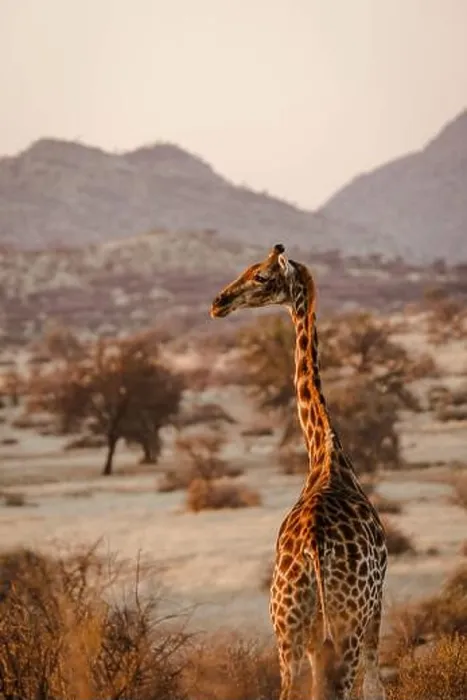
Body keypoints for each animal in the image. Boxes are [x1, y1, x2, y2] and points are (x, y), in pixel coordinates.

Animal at [210, 244, 388, 700]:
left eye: (260, 275)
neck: (324, 453)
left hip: (290, 627)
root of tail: (313, 550)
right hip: (342, 623)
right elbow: (375, 688)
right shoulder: (377, 601)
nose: (219, 302)